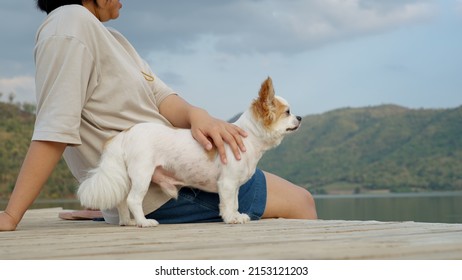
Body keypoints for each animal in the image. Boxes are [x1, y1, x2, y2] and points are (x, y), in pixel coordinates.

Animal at [78, 77, 304, 228]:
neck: (250, 139)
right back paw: (144, 221)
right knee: (133, 200)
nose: (300, 117)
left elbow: (235, 202)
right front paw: (230, 218)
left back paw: (127, 222)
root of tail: (125, 134)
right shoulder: (227, 183)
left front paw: (237, 215)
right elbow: (228, 203)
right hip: (143, 174)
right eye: (287, 112)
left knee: (122, 201)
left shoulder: (234, 186)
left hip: (128, 177)